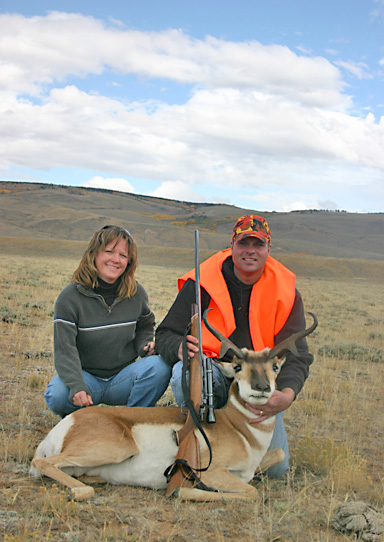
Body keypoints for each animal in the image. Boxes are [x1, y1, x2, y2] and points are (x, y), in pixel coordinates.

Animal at [30, 316, 318, 504]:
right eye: (238, 367)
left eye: (275, 367)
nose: (261, 387)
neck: (240, 430)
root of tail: (66, 424)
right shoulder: (213, 472)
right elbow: (251, 493)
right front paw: (181, 491)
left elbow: (278, 454)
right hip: (117, 448)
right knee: (43, 464)